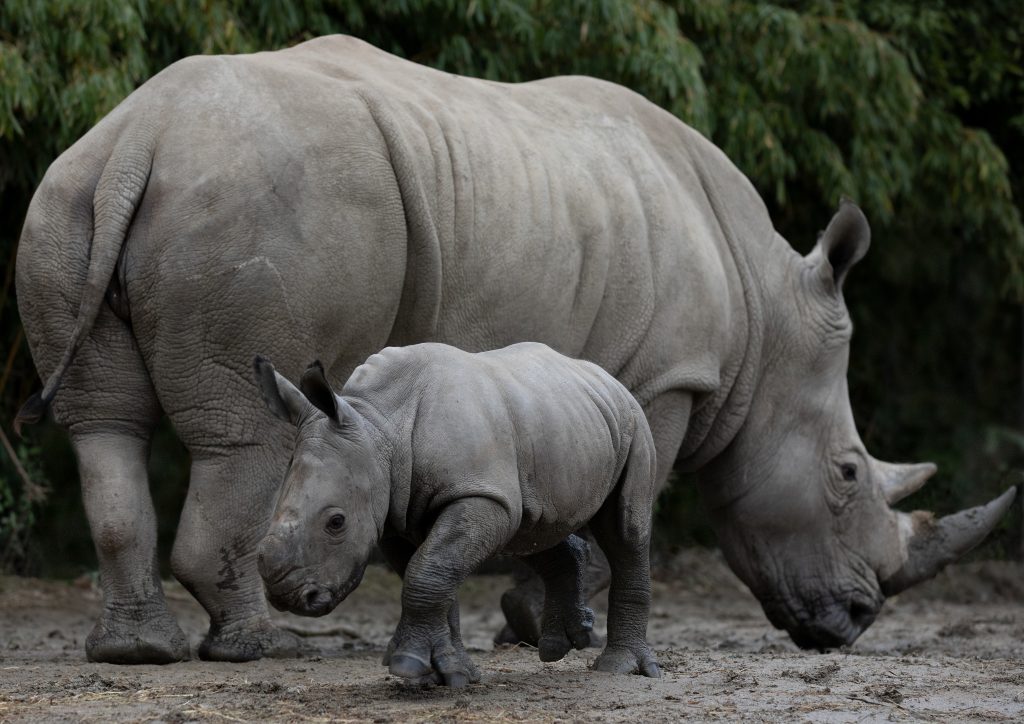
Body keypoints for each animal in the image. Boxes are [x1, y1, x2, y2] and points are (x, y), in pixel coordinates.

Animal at [251, 344, 659, 684]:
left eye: (336, 523)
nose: (287, 597)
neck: (380, 426)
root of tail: (606, 377)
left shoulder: (479, 493)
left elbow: (427, 571)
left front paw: (410, 665)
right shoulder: (399, 516)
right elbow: (430, 574)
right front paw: (446, 674)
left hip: (633, 422)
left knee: (625, 531)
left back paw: (620, 668)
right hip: (557, 425)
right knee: (532, 527)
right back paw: (561, 645)